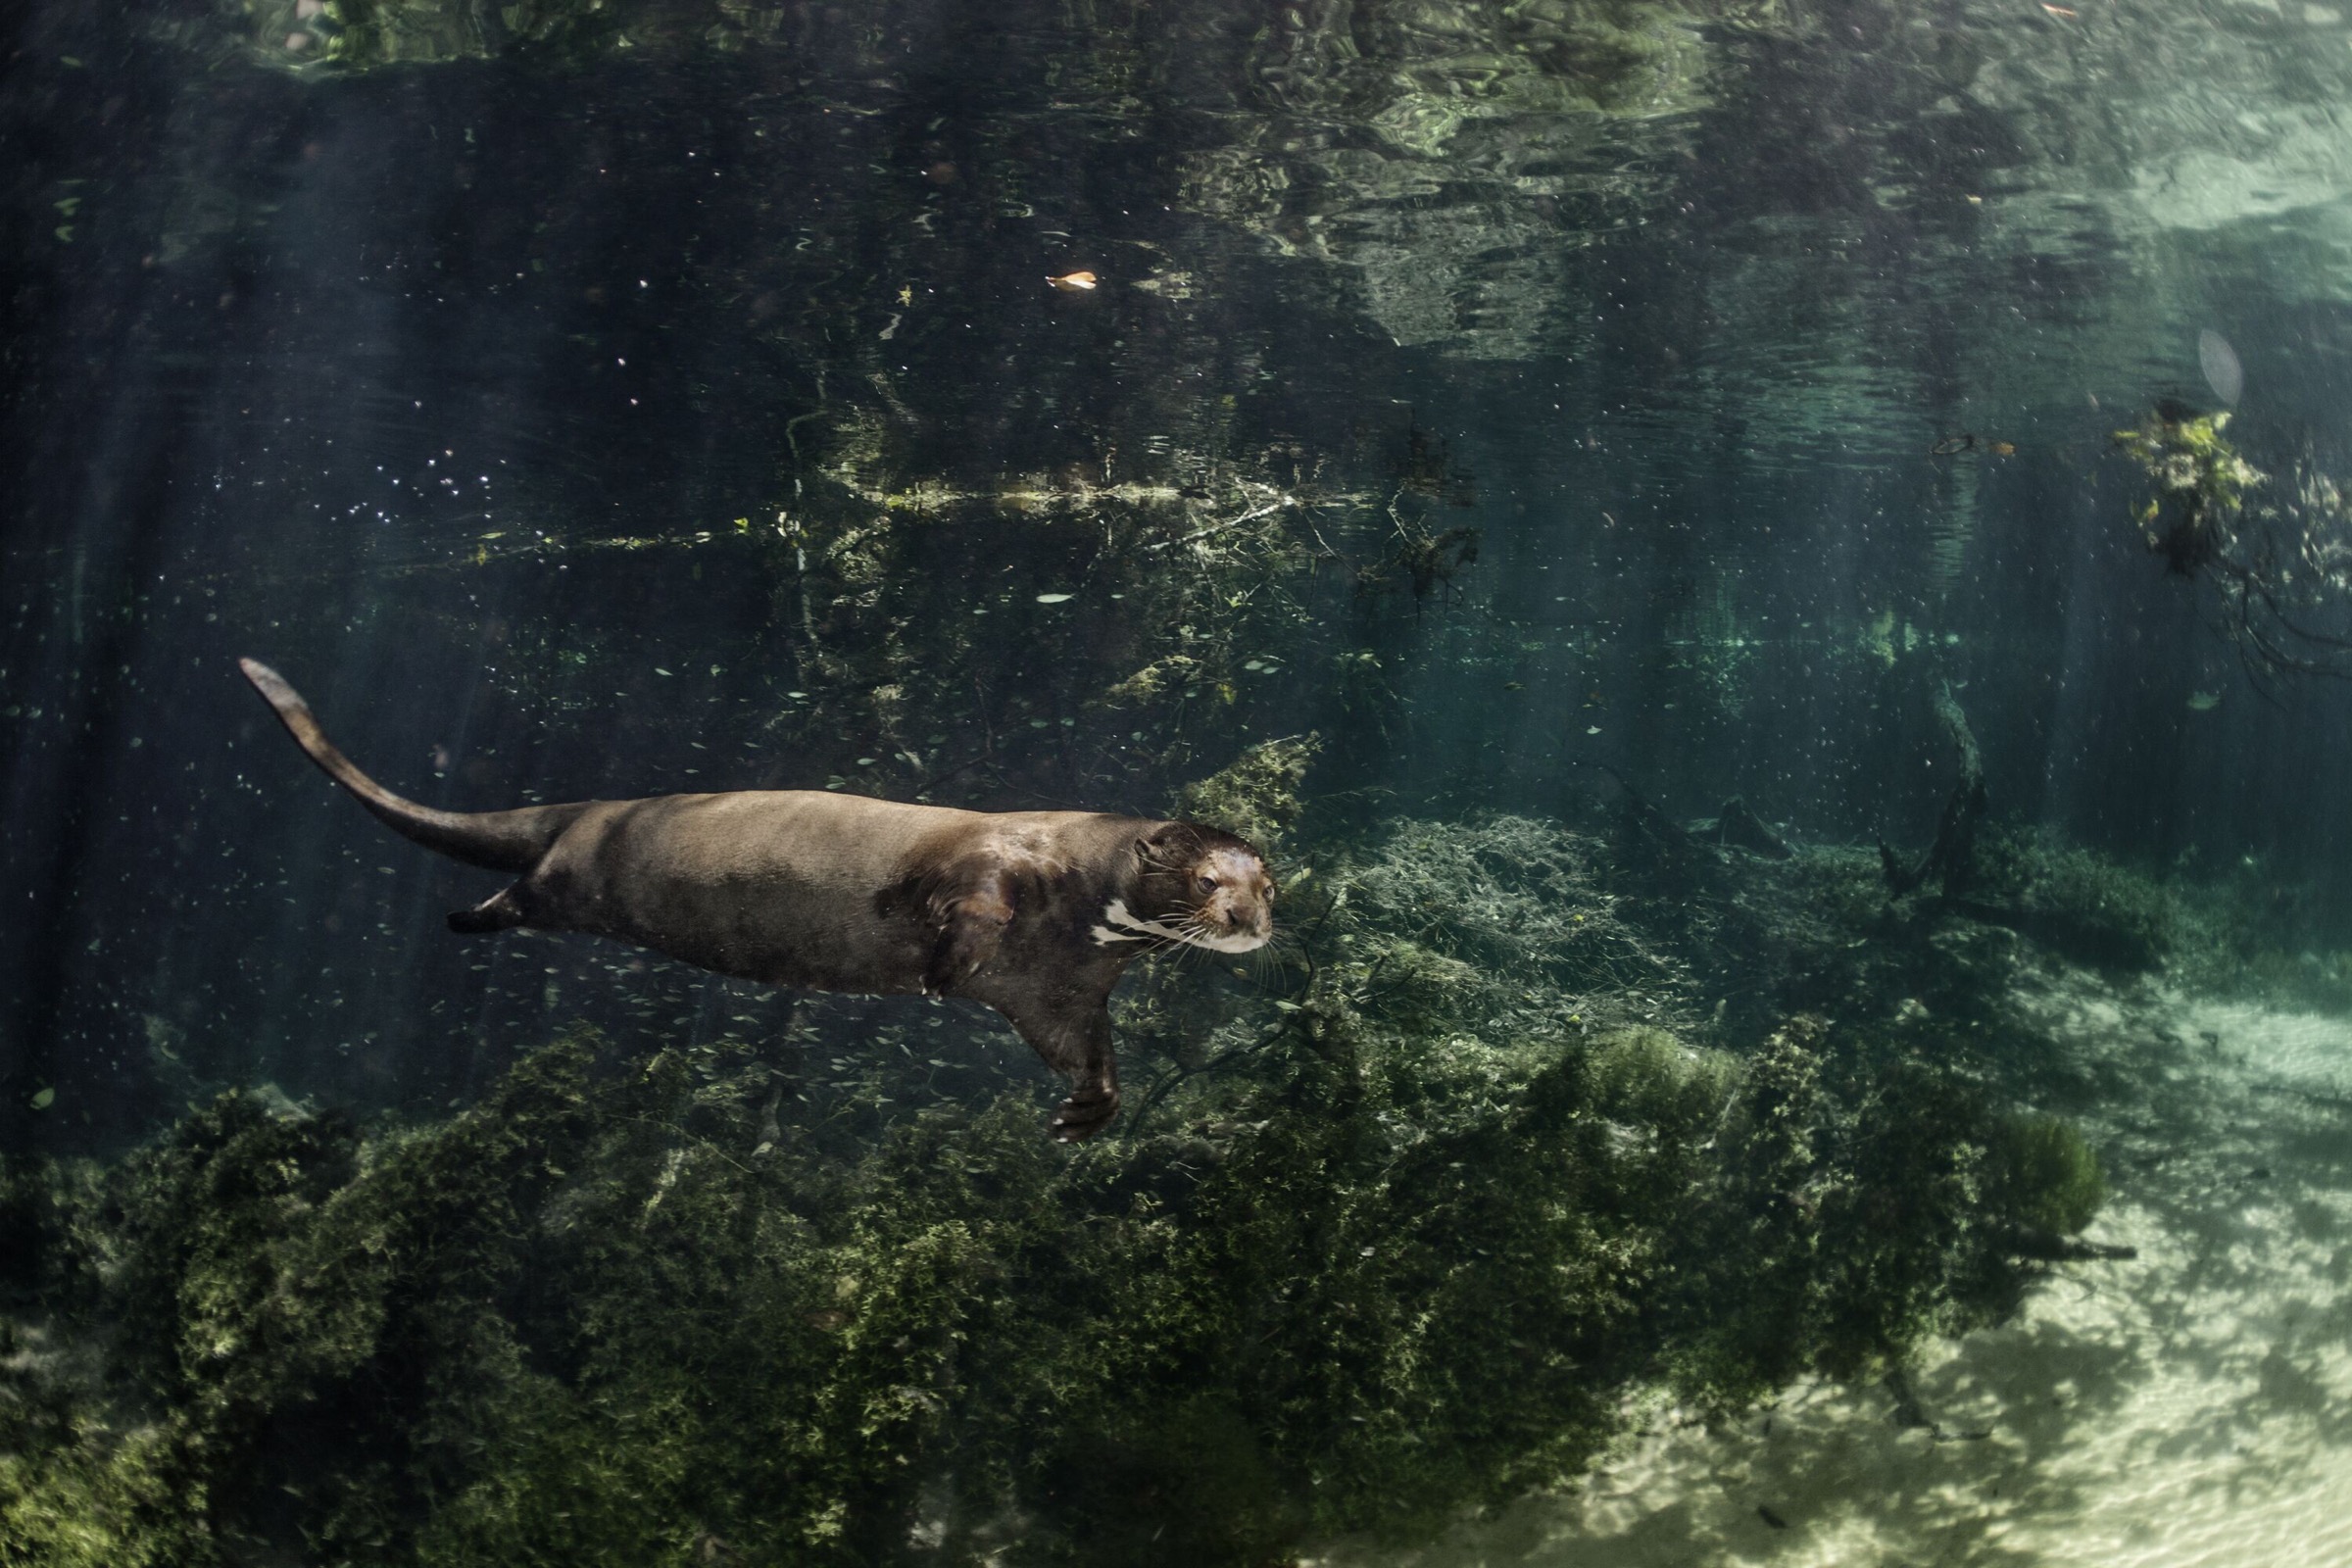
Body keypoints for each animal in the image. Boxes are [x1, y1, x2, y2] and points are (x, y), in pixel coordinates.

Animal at [238, 658, 1275, 1140]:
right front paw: (943, 967)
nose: (1252, 919)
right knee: (525, 891)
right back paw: (464, 918)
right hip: (581, 869)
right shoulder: (994, 860)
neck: (1076, 886)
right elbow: (966, 906)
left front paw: (1088, 1110)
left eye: (1271, 883)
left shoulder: (1060, 988)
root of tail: (592, 807)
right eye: (1207, 881)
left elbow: (1085, 1048)